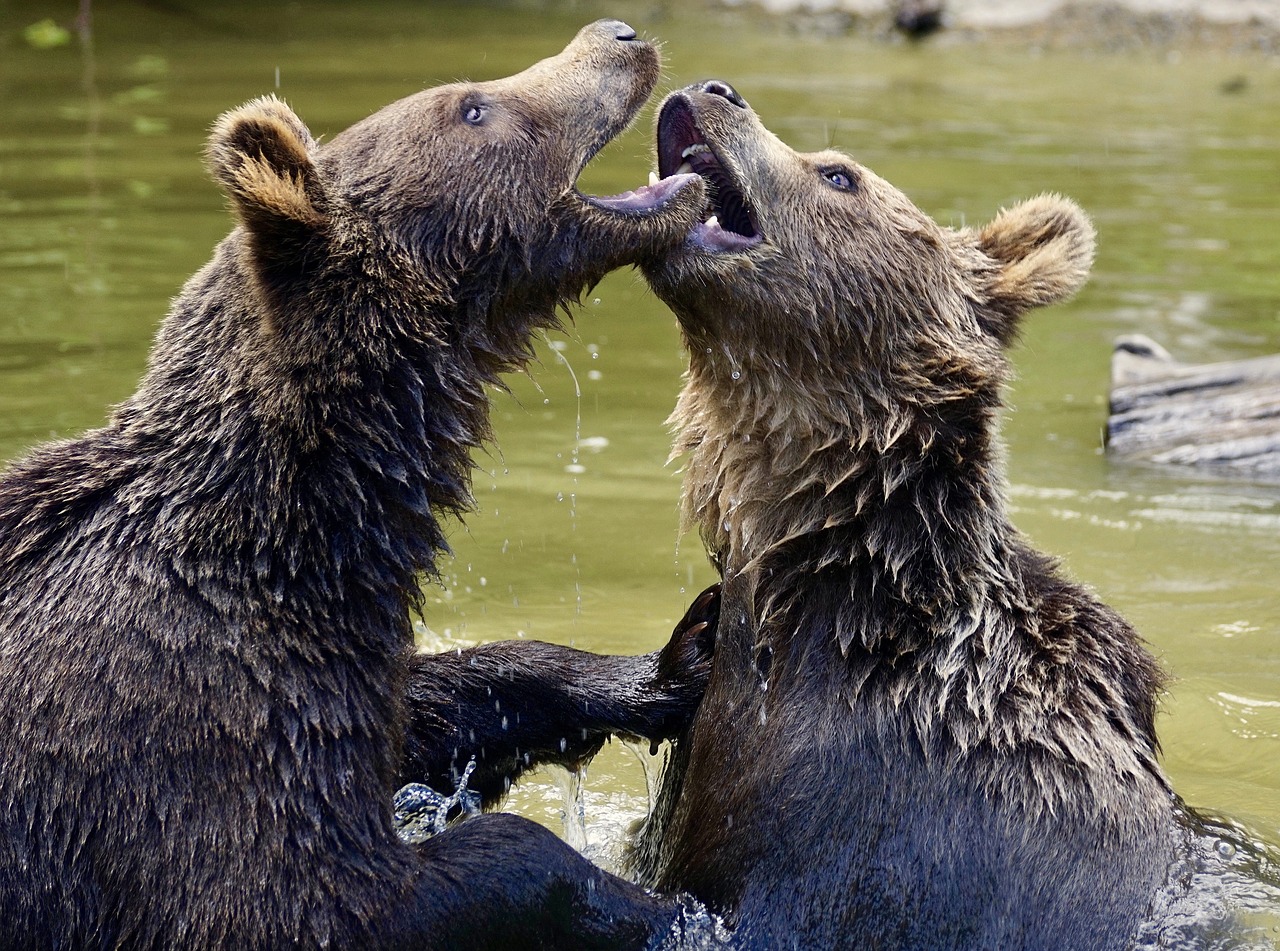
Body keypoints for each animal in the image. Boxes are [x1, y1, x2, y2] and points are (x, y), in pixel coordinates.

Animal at [0, 22, 721, 951]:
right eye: (472, 107)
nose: (619, 36)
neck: (306, 520)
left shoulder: (333, 665)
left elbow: (441, 704)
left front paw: (679, 655)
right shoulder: (174, 724)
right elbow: (316, 896)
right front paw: (660, 904)